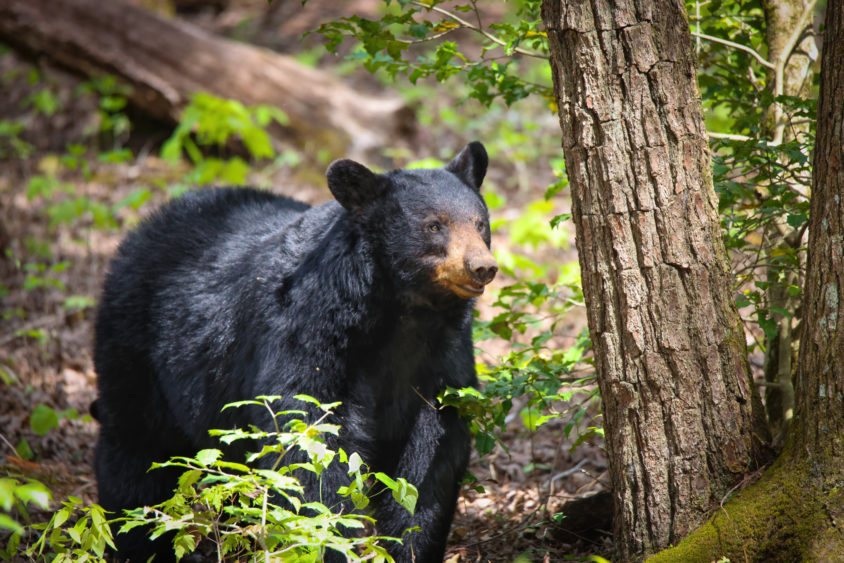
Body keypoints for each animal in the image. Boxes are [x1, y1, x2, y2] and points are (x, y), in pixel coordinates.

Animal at [94, 143, 494, 560]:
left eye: (480, 223)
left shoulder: (440, 359)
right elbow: (306, 435)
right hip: (135, 345)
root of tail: (148, 223)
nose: (481, 267)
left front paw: (410, 544)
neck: (401, 315)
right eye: (434, 225)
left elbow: (432, 456)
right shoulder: (309, 333)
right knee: (136, 449)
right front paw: (329, 540)